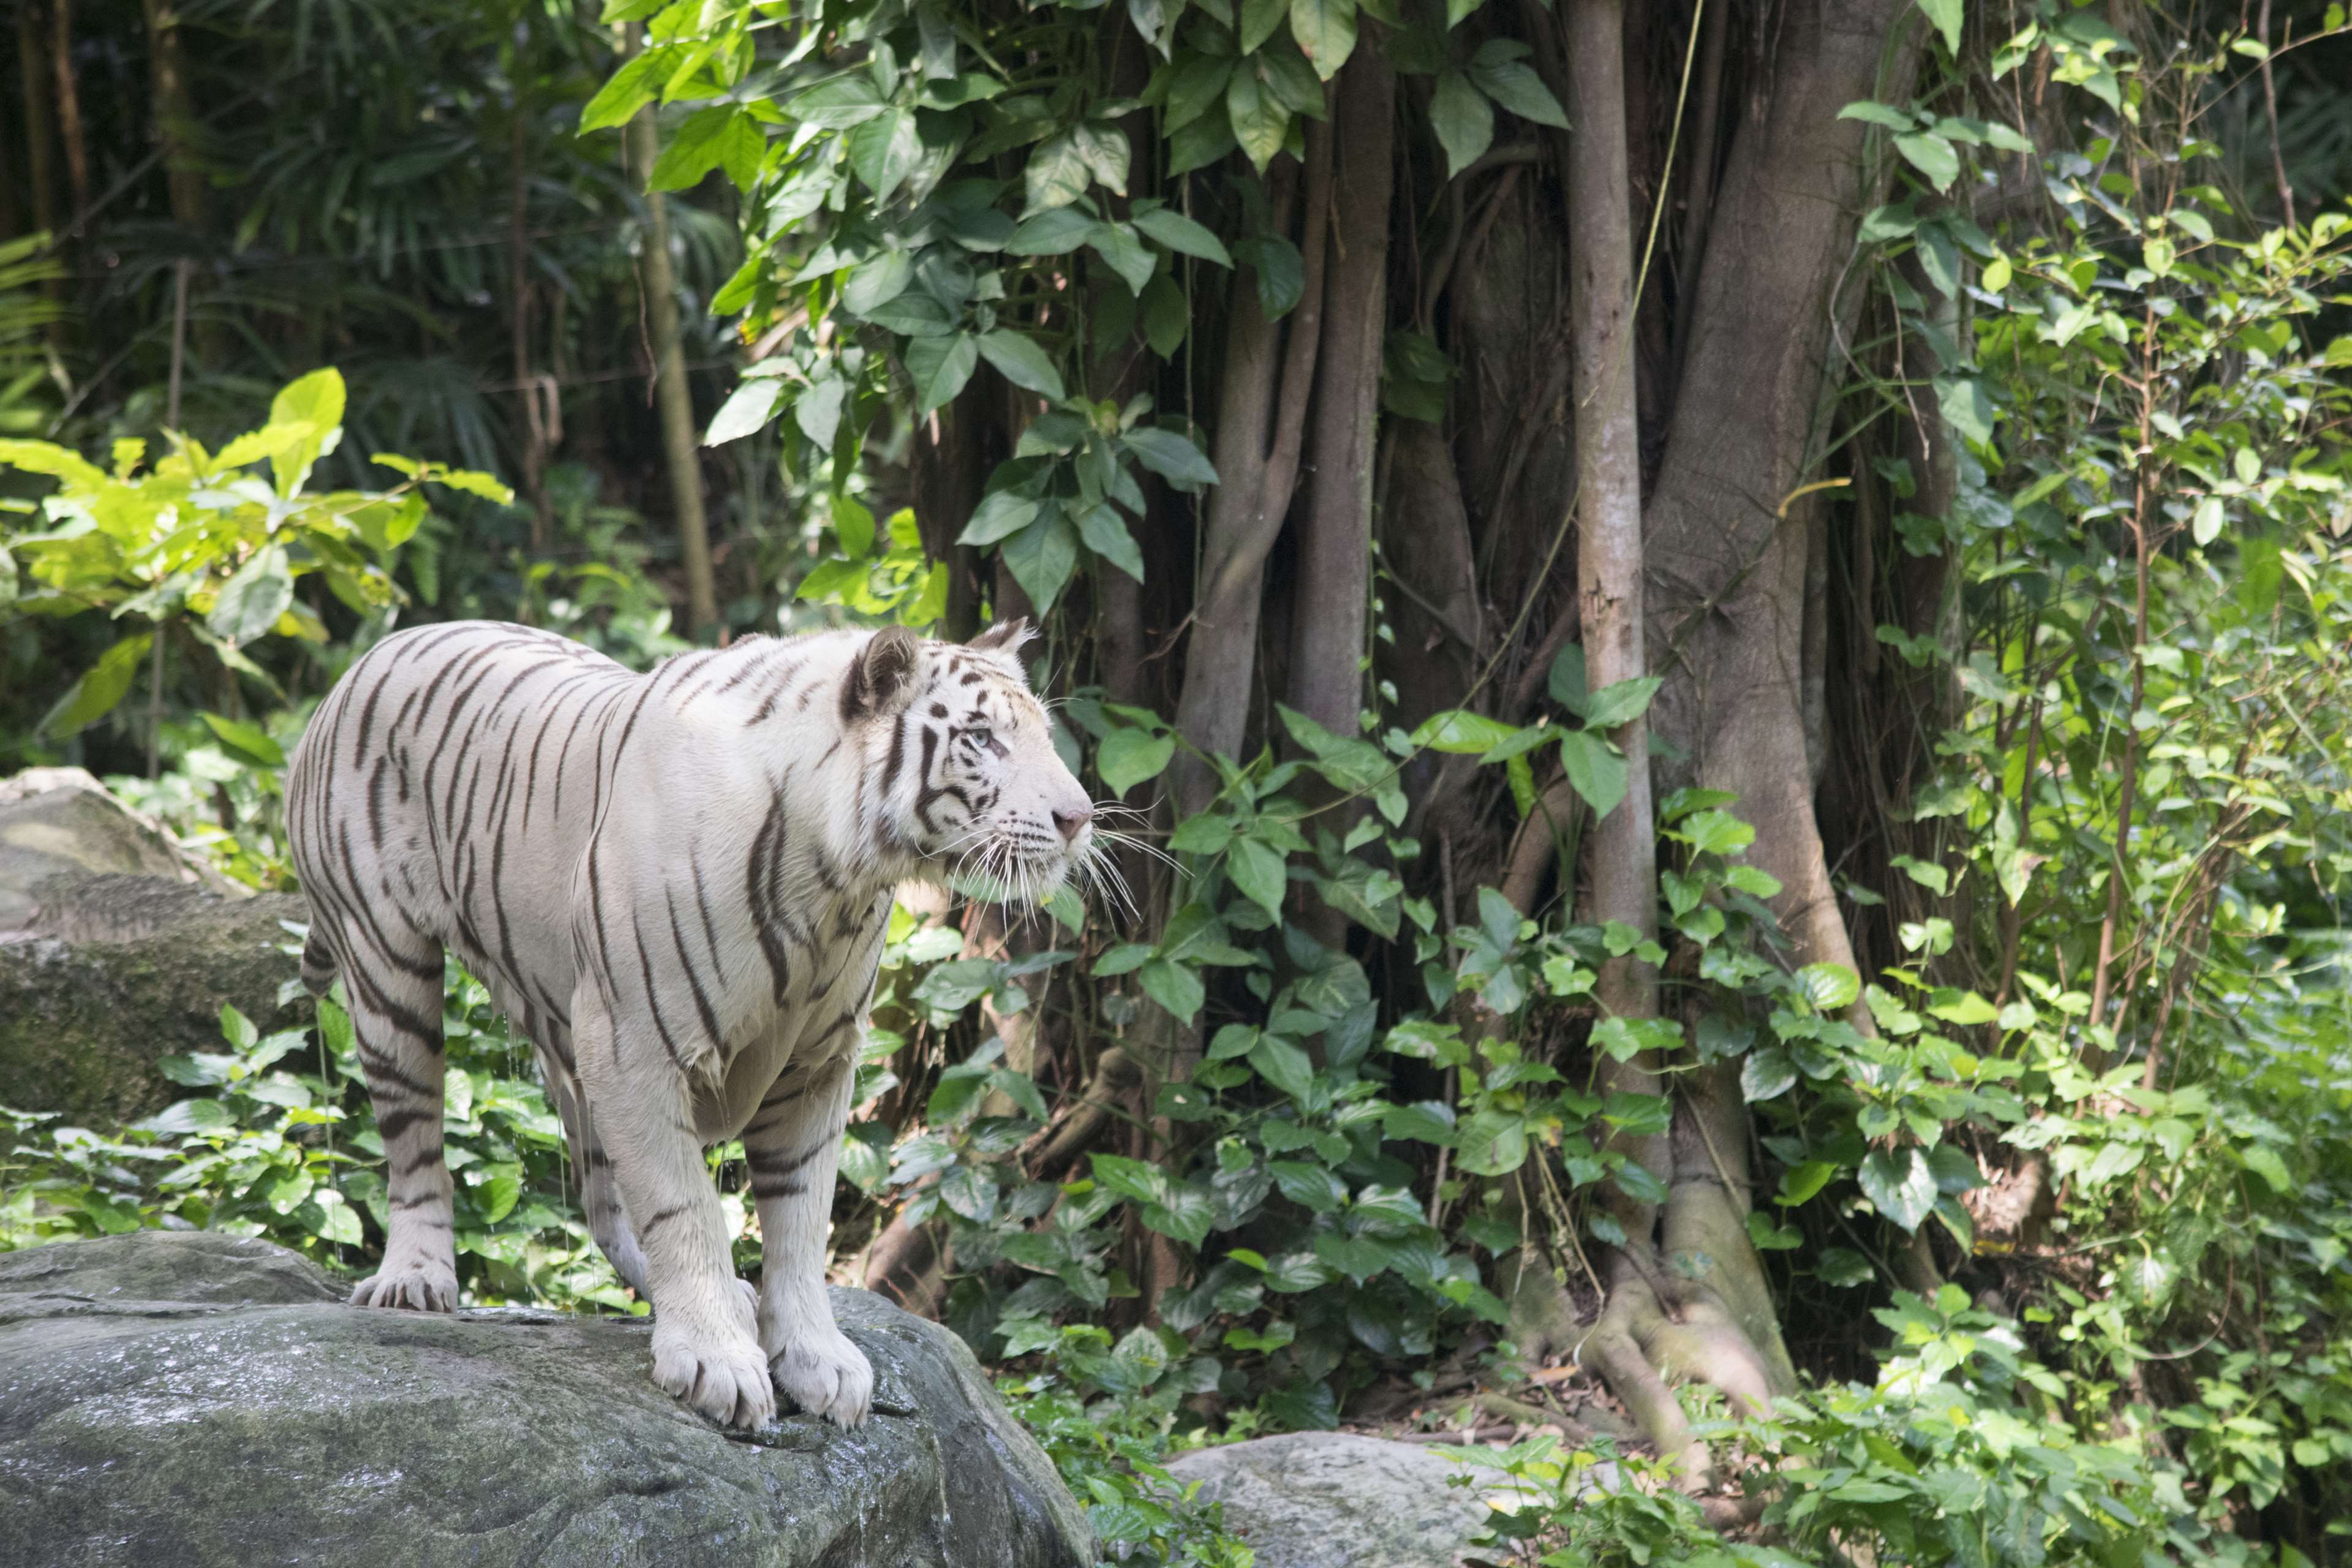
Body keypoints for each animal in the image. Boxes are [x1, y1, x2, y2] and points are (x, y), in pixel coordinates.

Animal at [289, 620, 1096, 1429]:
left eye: (1043, 733)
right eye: (981, 737)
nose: (1080, 818)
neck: (837, 887)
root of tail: (371, 657)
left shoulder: (815, 1065)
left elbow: (800, 1219)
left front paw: (816, 1358)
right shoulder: (635, 1046)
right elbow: (685, 1207)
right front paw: (717, 1360)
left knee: (601, 1200)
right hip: (390, 970)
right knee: (415, 1142)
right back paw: (416, 1278)